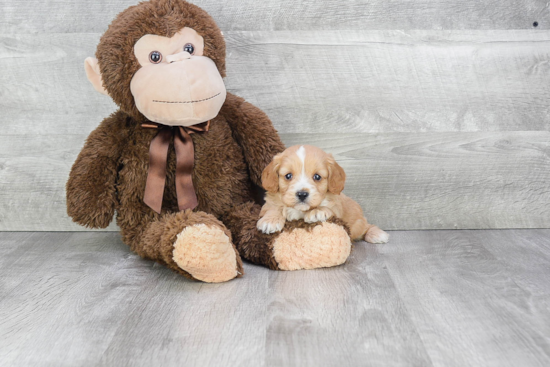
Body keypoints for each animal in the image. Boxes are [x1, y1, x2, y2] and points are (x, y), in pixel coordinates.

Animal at [258, 144, 390, 244]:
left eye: (317, 177)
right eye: (288, 176)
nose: (302, 194)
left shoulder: (336, 209)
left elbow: (327, 207)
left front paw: (317, 211)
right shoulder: (268, 205)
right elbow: (273, 207)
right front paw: (270, 220)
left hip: (357, 223)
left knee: (365, 227)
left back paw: (376, 233)